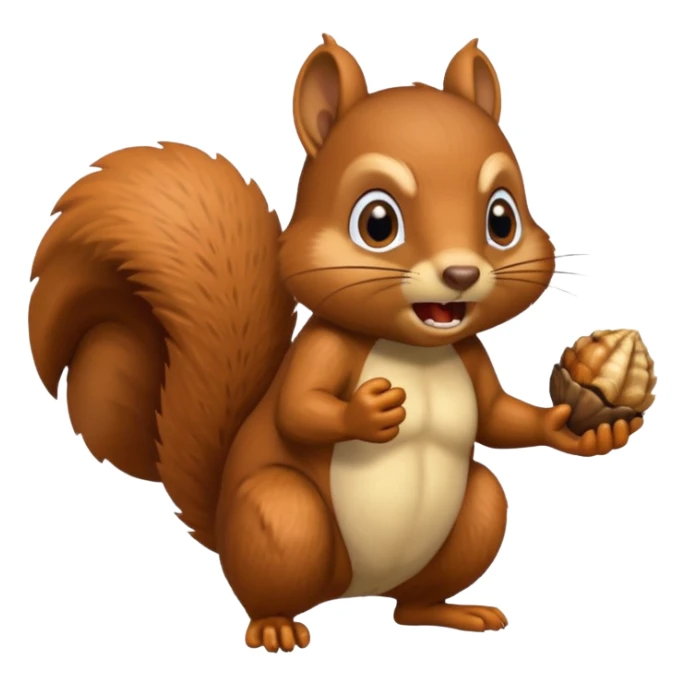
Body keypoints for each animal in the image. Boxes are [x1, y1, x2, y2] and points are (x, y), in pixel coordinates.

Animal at [28, 36, 643, 653]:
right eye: (377, 223)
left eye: (501, 218)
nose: (462, 274)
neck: (416, 347)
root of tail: (356, 594)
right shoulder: (324, 346)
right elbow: (299, 410)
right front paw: (369, 411)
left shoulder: (471, 354)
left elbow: (497, 415)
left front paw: (576, 430)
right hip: (281, 517)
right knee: (272, 575)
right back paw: (275, 626)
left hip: (468, 520)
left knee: (418, 595)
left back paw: (448, 613)